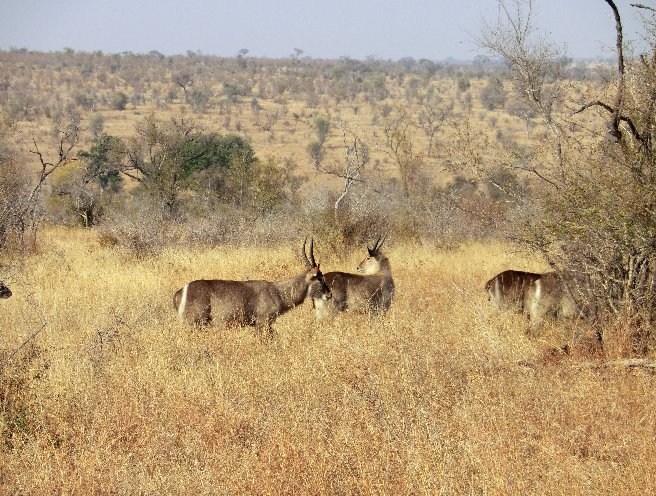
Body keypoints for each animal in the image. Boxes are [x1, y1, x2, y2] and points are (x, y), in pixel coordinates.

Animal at [173, 239, 330, 332]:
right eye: (320, 278)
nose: (329, 294)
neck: (277, 292)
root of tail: (180, 292)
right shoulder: (263, 323)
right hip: (194, 322)